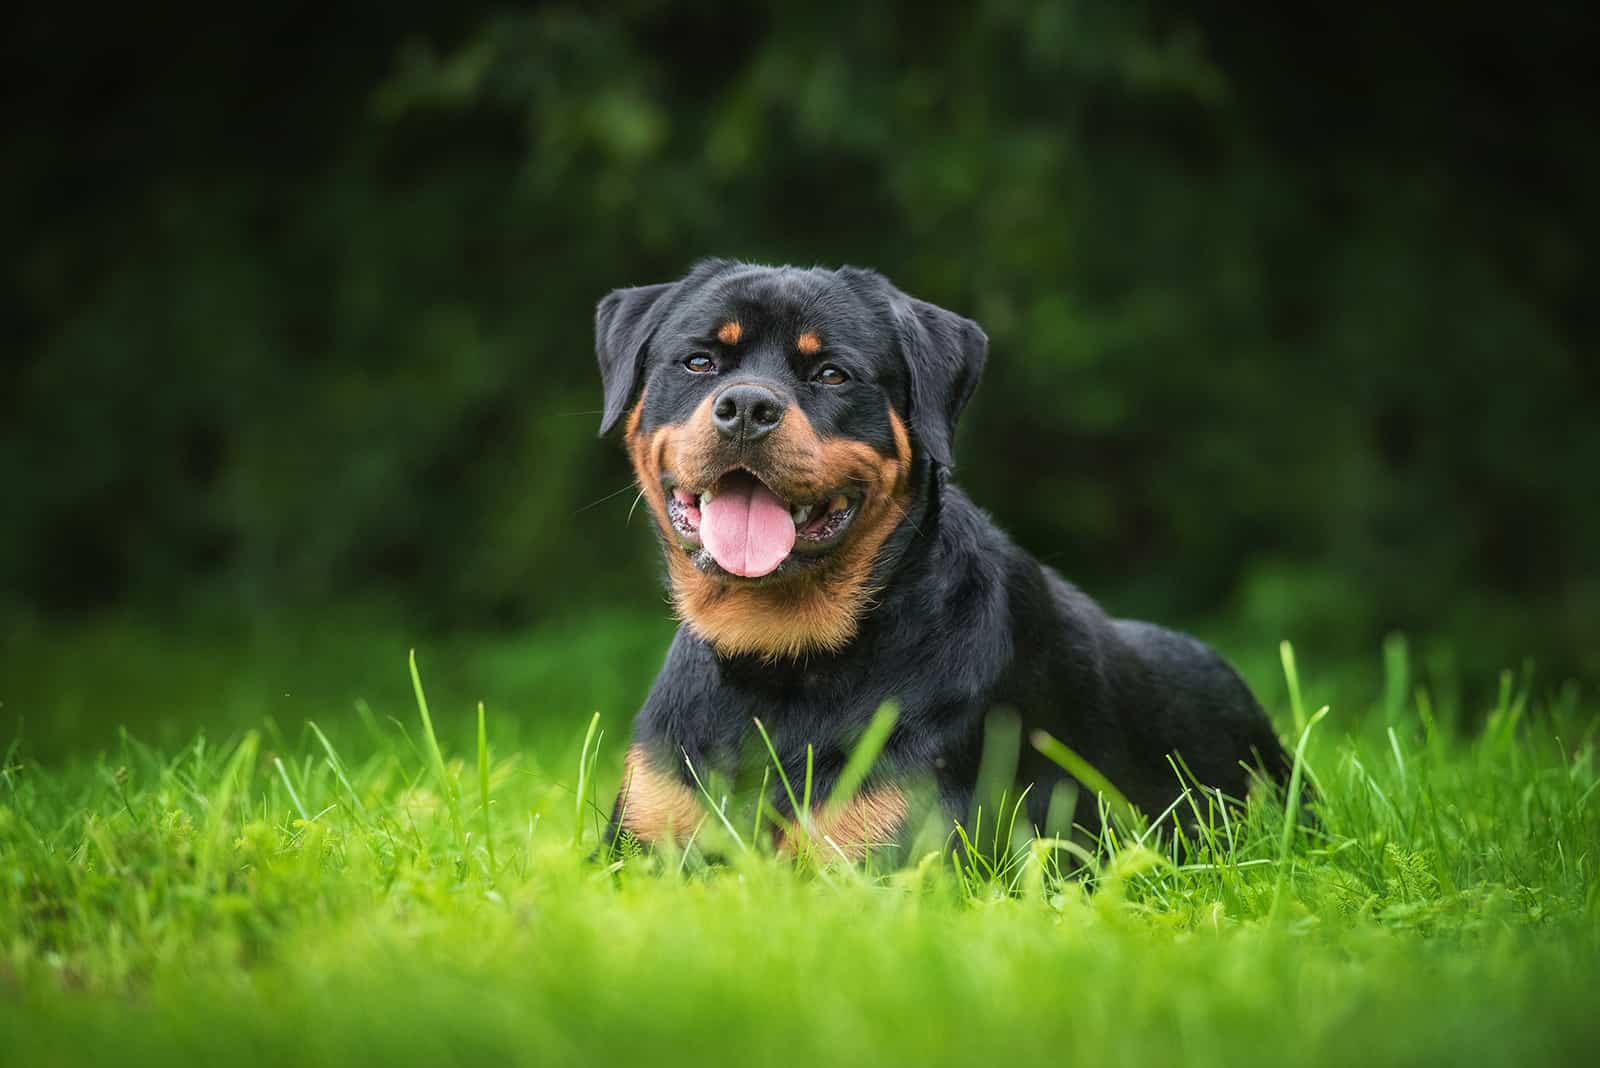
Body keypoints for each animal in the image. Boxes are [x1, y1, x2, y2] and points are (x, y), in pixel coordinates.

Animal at [601, 262, 1286, 863]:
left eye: (832, 374)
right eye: (699, 362)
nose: (747, 406)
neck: (775, 661)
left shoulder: (891, 856)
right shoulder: (639, 843)